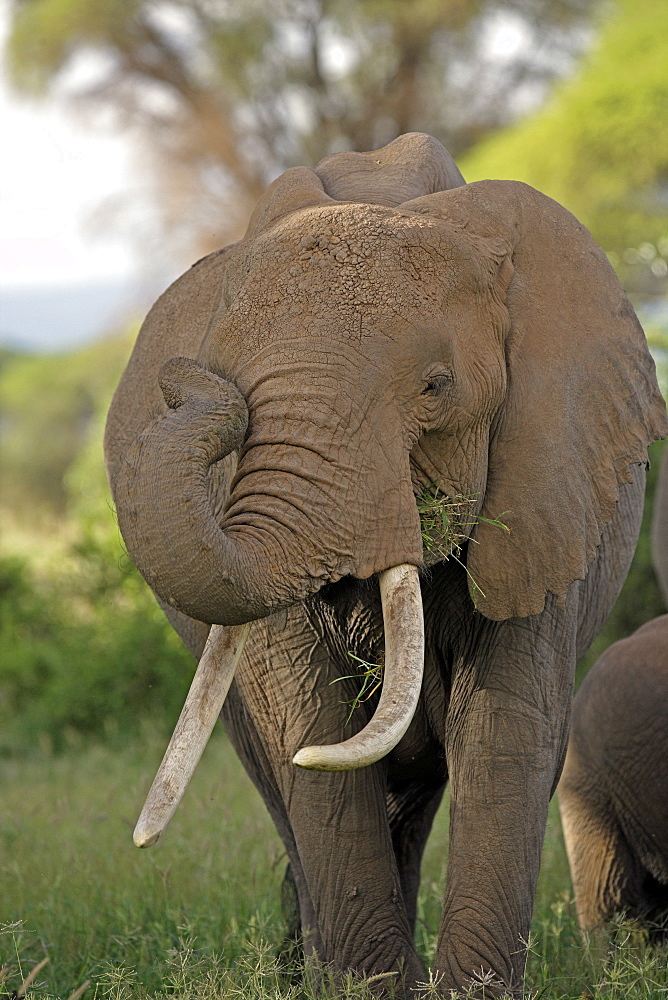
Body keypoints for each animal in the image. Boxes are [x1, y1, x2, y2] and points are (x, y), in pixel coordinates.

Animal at [104, 135, 668, 1000]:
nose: (184, 381)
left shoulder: (548, 486)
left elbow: (505, 732)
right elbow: (311, 732)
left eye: (435, 389)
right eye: (231, 376)